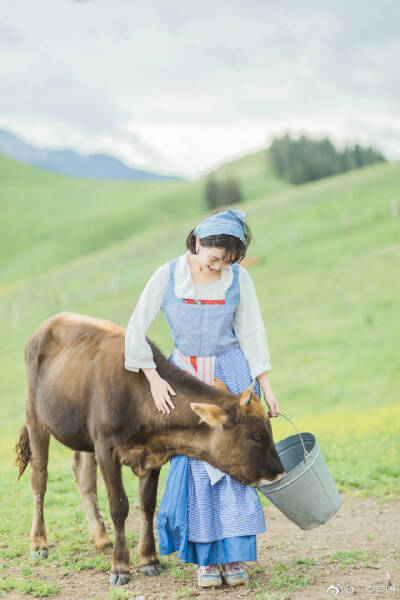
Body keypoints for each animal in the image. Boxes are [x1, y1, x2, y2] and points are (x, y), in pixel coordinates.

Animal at [14, 314, 284, 584]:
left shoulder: (153, 453)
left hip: (84, 436)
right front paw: (120, 566)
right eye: (256, 436)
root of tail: (49, 324)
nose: (279, 470)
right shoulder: (106, 449)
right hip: (35, 416)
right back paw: (39, 543)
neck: (140, 396)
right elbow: (119, 506)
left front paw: (149, 559)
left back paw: (101, 538)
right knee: (39, 479)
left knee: (84, 478)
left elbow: (147, 505)